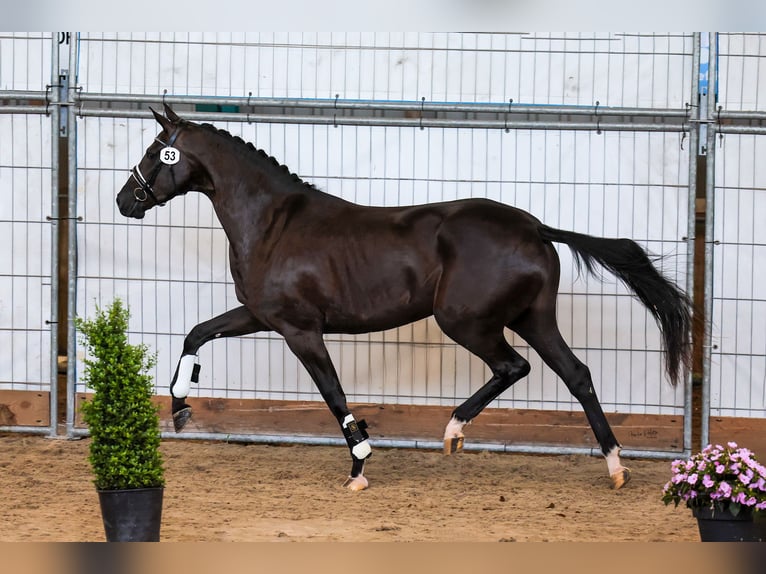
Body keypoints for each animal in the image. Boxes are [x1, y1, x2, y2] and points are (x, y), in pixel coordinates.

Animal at [116, 104, 692, 491]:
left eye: (155, 152)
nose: (125, 200)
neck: (274, 223)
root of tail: (534, 227)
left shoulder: (300, 329)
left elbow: (333, 394)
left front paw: (359, 467)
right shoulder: (262, 315)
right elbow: (197, 333)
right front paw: (180, 407)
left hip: (465, 321)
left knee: (514, 367)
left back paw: (454, 431)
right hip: (534, 318)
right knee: (577, 375)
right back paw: (615, 468)